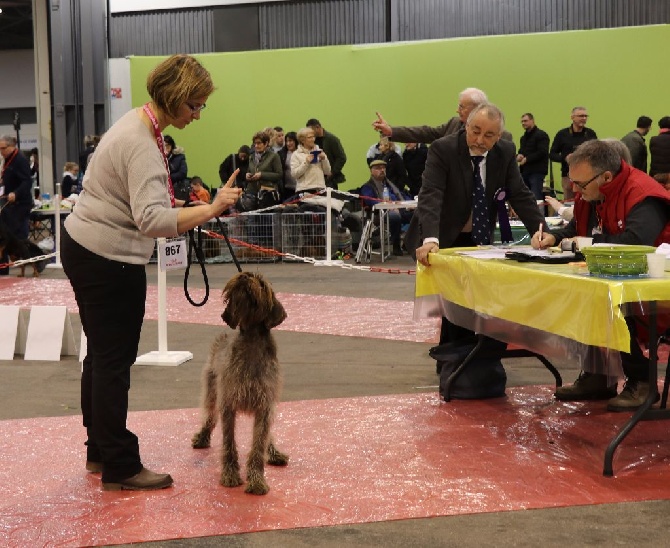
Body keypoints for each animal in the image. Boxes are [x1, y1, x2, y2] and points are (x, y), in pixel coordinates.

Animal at [193, 272, 290, 494]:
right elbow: (229, 443)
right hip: (212, 391)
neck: (252, 341)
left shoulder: (264, 407)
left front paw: (256, 480)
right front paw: (230, 475)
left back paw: (274, 452)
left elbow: (258, 445)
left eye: (261, 284)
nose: (245, 276)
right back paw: (202, 437)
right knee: (209, 417)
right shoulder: (228, 404)